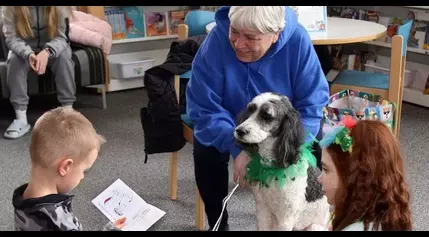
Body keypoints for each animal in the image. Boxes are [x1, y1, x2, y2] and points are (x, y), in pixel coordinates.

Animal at [232, 92, 330, 230]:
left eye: (267, 116)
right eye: (250, 110)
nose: (239, 131)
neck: (272, 166)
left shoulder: (285, 218)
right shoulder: (263, 210)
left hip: (314, 226)